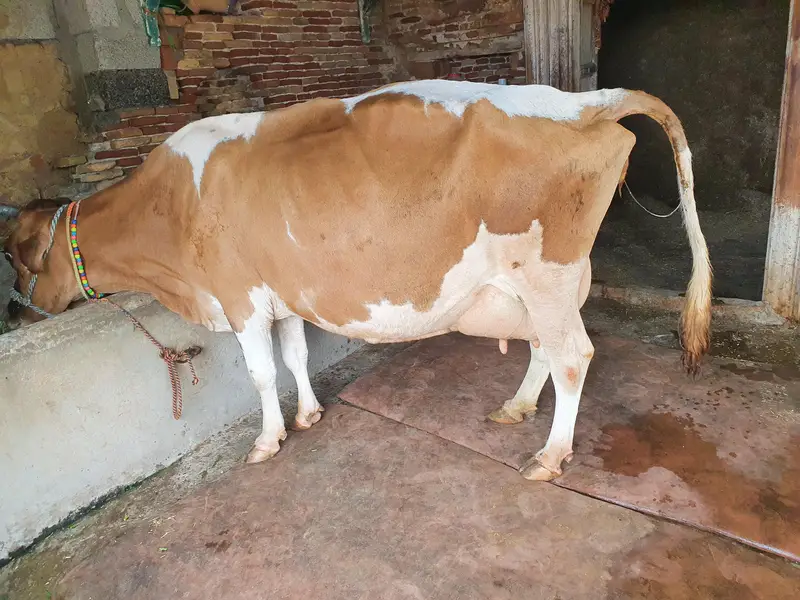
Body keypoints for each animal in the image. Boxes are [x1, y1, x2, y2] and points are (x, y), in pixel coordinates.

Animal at [1, 80, 711, 481]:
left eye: (14, 256)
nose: (15, 316)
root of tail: (581, 102)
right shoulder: (282, 293)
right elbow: (294, 356)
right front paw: (310, 414)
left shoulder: (238, 297)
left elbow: (261, 372)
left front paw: (267, 441)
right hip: (541, 285)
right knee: (546, 347)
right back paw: (516, 408)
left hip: (546, 271)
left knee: (573, 356)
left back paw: (550, 456)